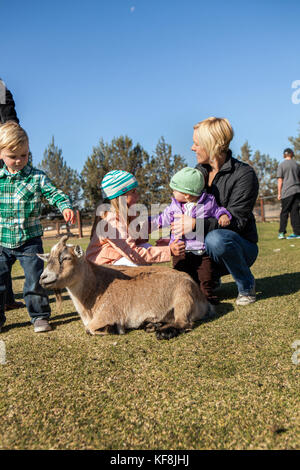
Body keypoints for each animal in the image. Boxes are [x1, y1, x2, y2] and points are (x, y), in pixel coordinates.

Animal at [38, 237, 211, 340]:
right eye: (48, 259)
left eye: (66, 258)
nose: (43, 278)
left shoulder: (106, 314)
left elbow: (89, 329)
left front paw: (115, 329)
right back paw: (151, 325)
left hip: (183, 297)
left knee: (184, 323)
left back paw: (162, 332)